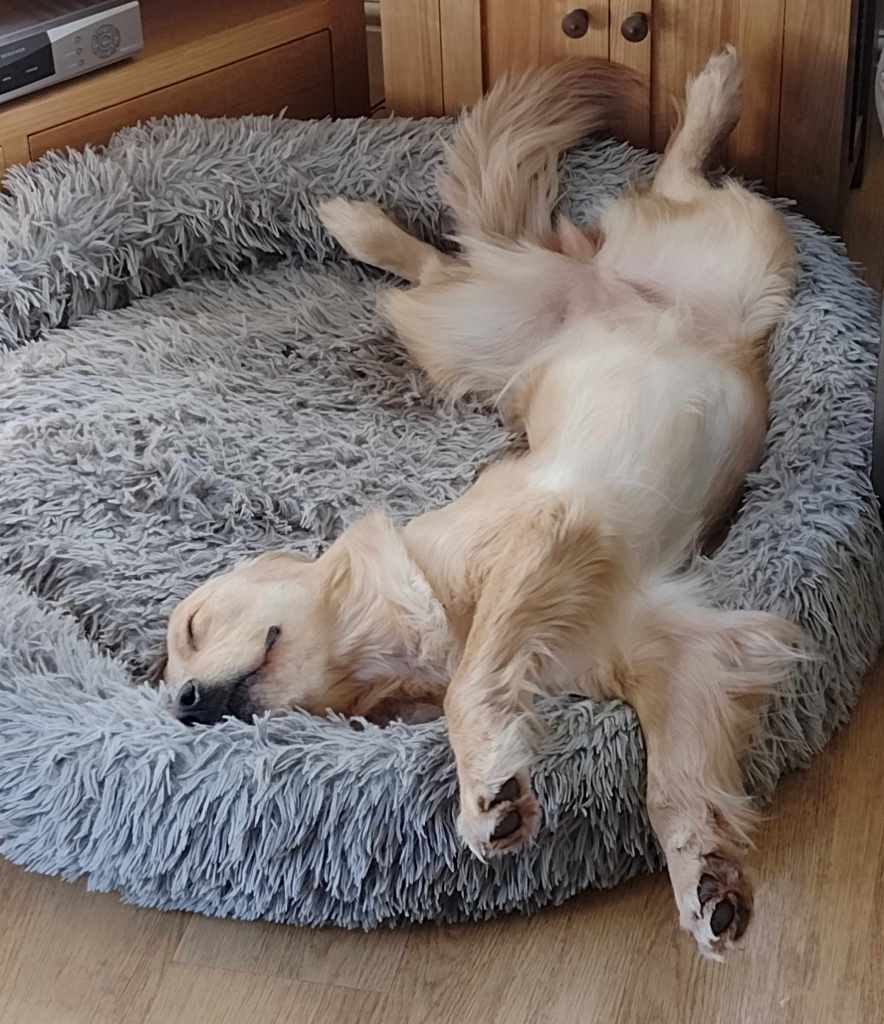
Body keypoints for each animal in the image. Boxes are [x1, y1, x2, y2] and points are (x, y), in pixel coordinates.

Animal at [155, 48, 802, 957]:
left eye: (190, 628)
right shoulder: (671, 649)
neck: (416, 611)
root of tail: (586, 277)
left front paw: (485, 792)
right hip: (482, 339)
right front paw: (703, 878)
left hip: (684, 265)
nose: (181, 705)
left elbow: (469, 691)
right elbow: (673, 781)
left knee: (635, 191)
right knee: (462, 255)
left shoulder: (547, 535)